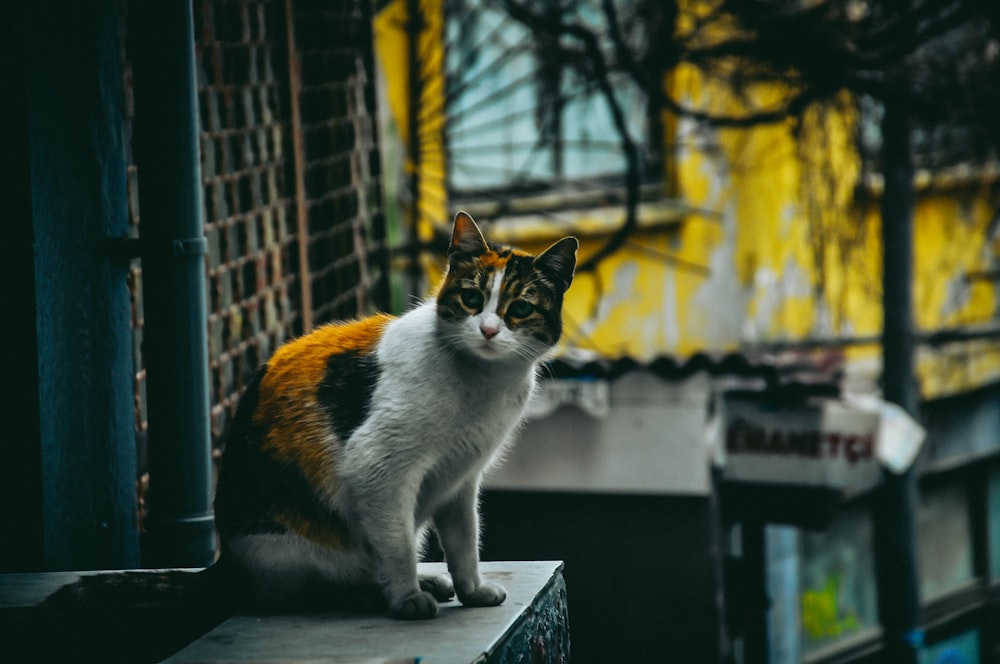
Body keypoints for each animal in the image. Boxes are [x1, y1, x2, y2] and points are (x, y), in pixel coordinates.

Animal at [215, 211, 584, 616]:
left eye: (520, 309)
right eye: (471, 298)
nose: (487, 330)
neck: (483, 383)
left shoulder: (462, 478)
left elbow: (464, 542)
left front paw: (472, 591)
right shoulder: (377, 467)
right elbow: (399, 546)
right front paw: (407, 597)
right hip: (286, 548)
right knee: (317, 588)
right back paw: (375, 592)